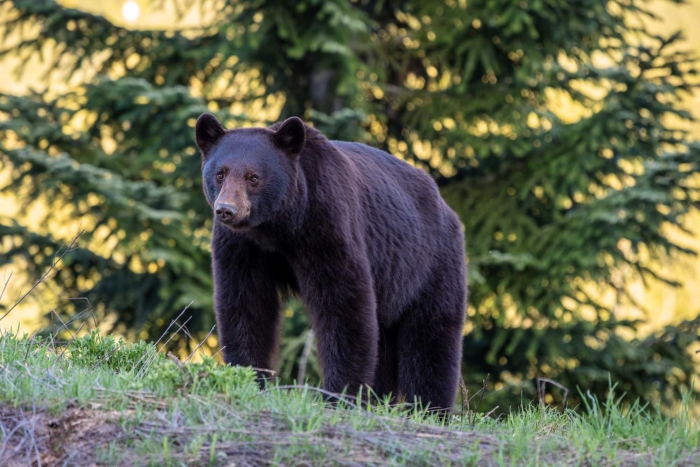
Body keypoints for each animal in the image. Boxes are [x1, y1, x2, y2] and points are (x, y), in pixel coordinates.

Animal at [195, 113, 467, 412]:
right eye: (220, 174)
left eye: (254, 177)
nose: (226, 210)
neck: (277, 227)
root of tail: (447, 208)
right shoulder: (242, 248)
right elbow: (246, 305)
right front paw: (249, 377)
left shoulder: (326, 222)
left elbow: (343, 303)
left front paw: (340, 394)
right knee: (385, 341)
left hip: (430, 263)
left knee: (431, 336)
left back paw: (431, 408)